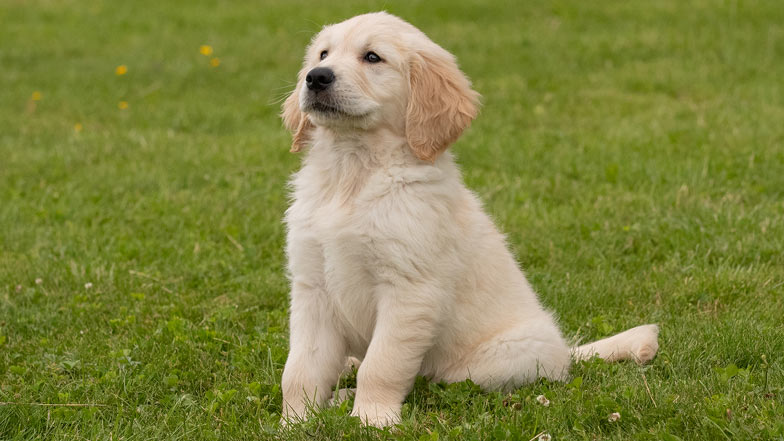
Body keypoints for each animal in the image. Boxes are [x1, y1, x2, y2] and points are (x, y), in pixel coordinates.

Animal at [278, 12, 660, 426]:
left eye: (373, 57)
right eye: (323, 54)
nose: (316, 77)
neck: (353, 173)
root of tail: (563, 351)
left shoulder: (409, 291)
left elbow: (382, 365)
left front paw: (371, 420)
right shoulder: (312, 286)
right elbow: (300, 369)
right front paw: (294, 422)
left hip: (489, 363)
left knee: (431, 382)